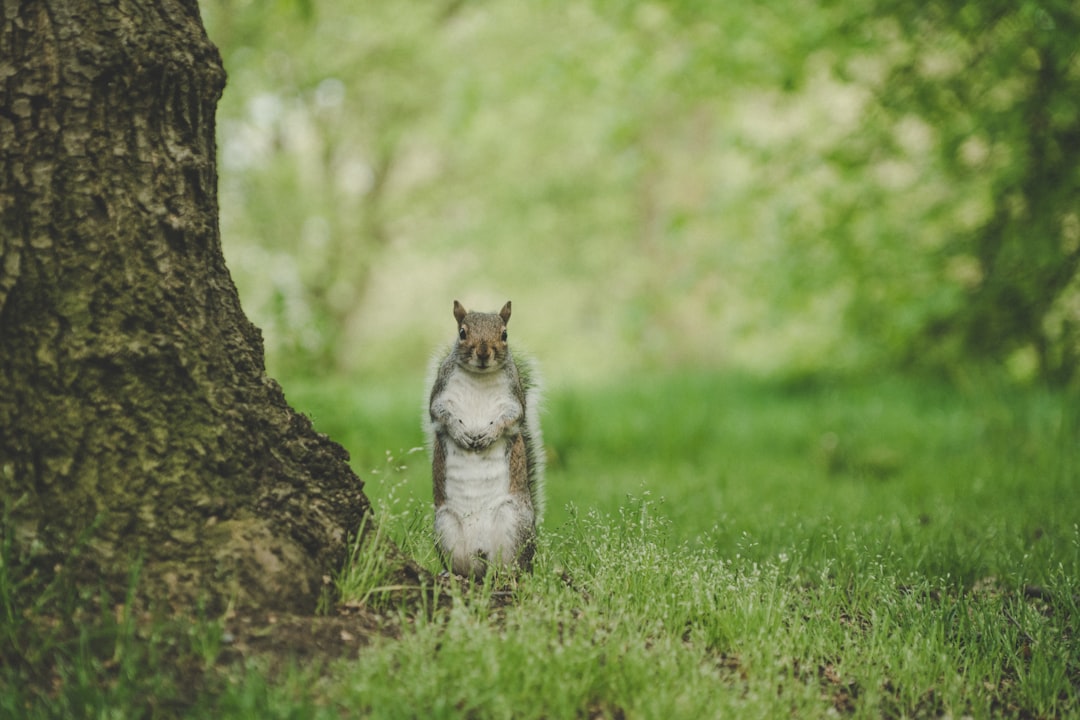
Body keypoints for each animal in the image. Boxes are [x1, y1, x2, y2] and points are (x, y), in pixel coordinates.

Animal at [425, 300, 544, 578]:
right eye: (462, 333)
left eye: (504, 335)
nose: (482, 353)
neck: (479, 377)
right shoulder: (440, 394)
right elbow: (440, 414)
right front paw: (461, 433)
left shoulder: (514, 400)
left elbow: (510, 419)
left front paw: (488, 435)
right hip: (445, 525)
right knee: (464, 569)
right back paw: (453, 574)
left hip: (514, 523)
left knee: (513, 566)